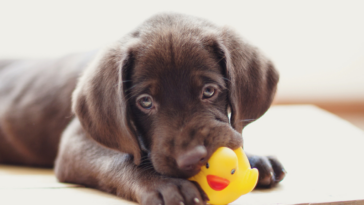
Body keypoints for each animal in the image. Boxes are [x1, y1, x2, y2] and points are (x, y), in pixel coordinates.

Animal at [0, 13, 284, 204]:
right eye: (145, 102)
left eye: (209, 91)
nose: (192, 158)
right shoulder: (76, 142)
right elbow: (121, 159)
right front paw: (165, 184)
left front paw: (256, 158)